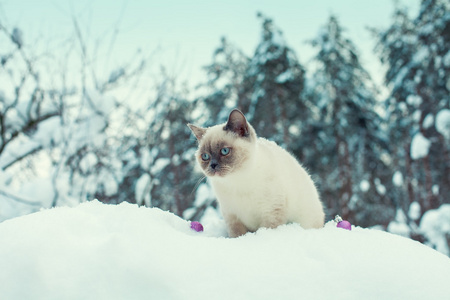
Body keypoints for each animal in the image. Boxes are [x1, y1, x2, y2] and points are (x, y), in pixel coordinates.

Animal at [188, 109, 326, 238]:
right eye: (205, 156)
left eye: (225, 151)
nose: (212, 165)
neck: (236, 181)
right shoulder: (232, 216)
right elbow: (237, 235)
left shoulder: (271, 212)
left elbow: (265, 232)